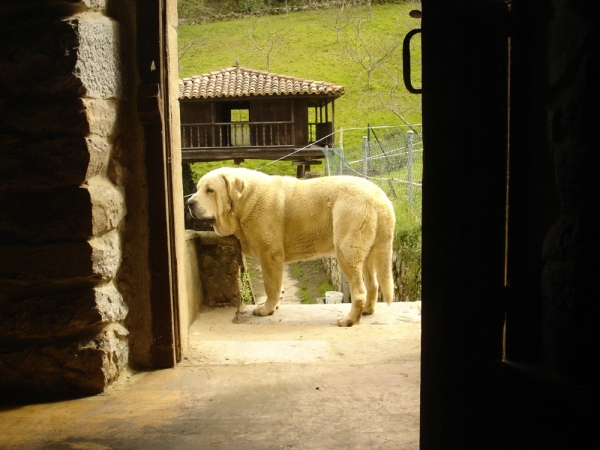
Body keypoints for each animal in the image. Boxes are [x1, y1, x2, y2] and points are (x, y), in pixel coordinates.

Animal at [186, 167, 394, 326]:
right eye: (198, 189)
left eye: (210, 190)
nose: (189, 202)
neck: (243, 201)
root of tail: (380, 198)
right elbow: (277, 286)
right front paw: (274, 305)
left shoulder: (270, 255)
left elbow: (271, 285)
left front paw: (266, 309)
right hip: (367, 252)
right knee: (373, 284)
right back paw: (367, 311)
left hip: (346, 248)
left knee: (359, 291)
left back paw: (349, 320)